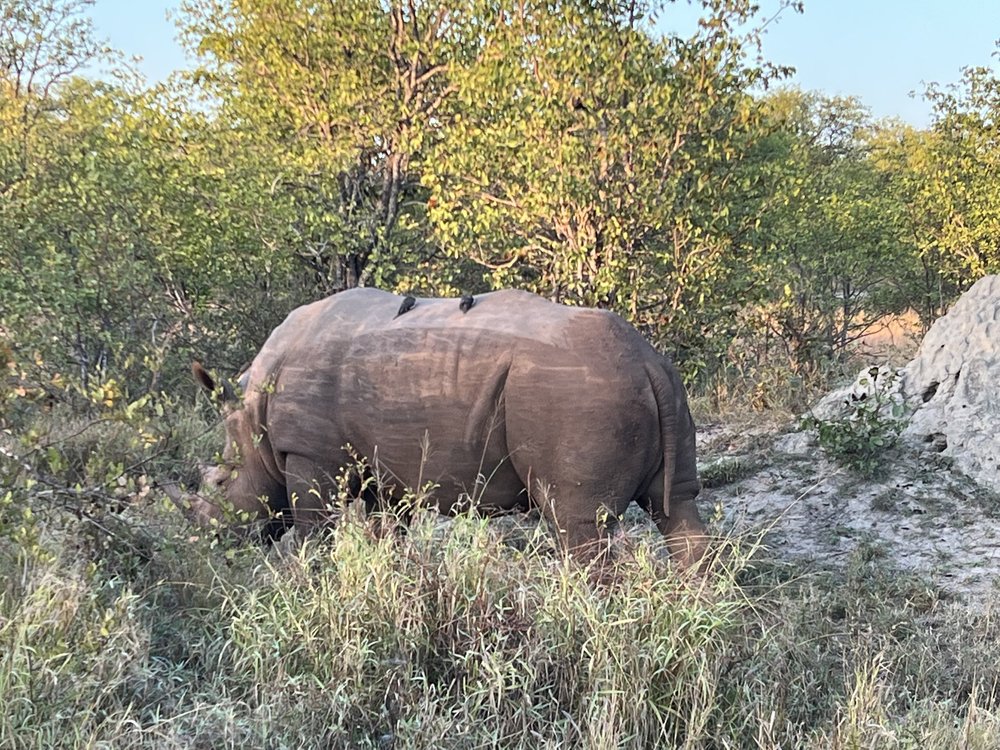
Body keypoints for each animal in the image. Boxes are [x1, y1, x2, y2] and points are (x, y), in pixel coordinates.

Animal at [172, 288, 706, 567]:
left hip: (577, 392)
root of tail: (646, 361)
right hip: (656, 385)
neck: (251, 413)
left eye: (219, 483)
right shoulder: (384, 466)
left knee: (577, 524)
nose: (212, 546)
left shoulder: (308, 454)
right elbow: (387, 531)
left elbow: (312, 531)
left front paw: (308, 579)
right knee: (677, 507)